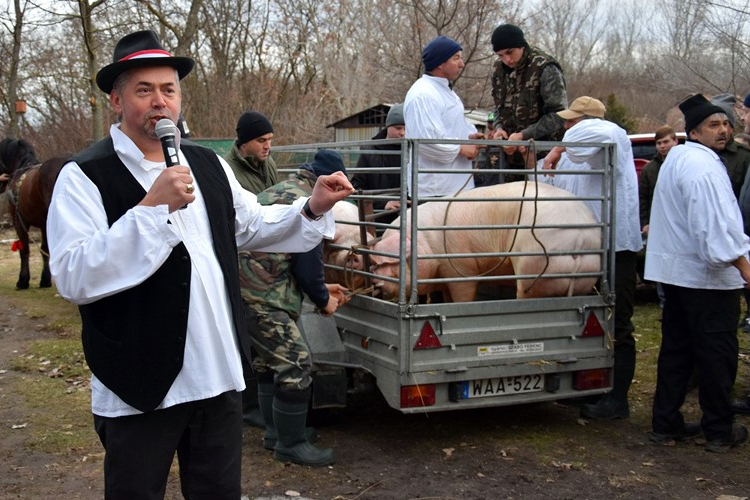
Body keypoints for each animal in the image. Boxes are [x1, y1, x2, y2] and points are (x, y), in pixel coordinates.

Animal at [0, 140, 66, 290]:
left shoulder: (18, 220)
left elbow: (24, 249)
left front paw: (23, 280)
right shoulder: (43, 223)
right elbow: (44, 249)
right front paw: (45, 280)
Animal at [370, 183, 604, 302]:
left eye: (390, 262)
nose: (374, 279)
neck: (428, 244)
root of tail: (578, 237)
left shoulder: (461, 269)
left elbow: (462, 296)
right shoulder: (445, 276)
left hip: (533, 268)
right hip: (584, 277)